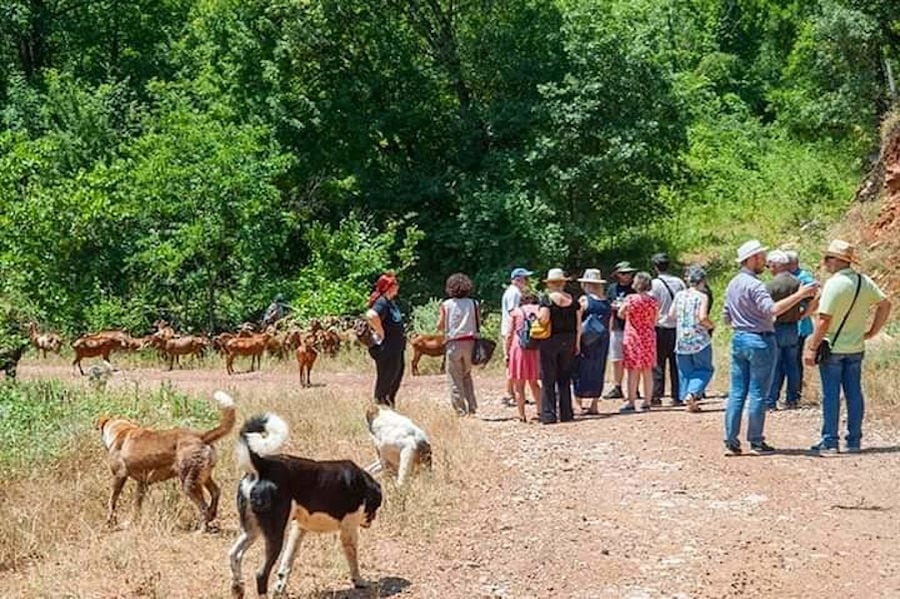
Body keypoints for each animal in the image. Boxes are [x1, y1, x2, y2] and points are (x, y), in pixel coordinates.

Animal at [96, 392, 236, 532]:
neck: (121, 430)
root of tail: (201, 436)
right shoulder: (142, 483)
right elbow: (137, 505)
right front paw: (133, 522)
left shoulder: (119, 476)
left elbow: (112, 501)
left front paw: (110, 522)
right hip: (203, 476)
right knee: (216, 492)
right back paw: (212, 515)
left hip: (189, 483)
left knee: (203, 507)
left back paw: (201, 529)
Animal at [230, 414, 382, 596]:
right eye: (376, 506)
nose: (371, 521)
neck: (361, 482)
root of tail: (263, 465)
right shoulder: (348, 531)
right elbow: (353, 561)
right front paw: (359, 581)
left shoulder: (299, 529)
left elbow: (287, 564)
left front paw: (280, 586)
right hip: (275, 534)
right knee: (261, 574)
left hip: (251, 531)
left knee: (234, 555)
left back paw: (238, 587)